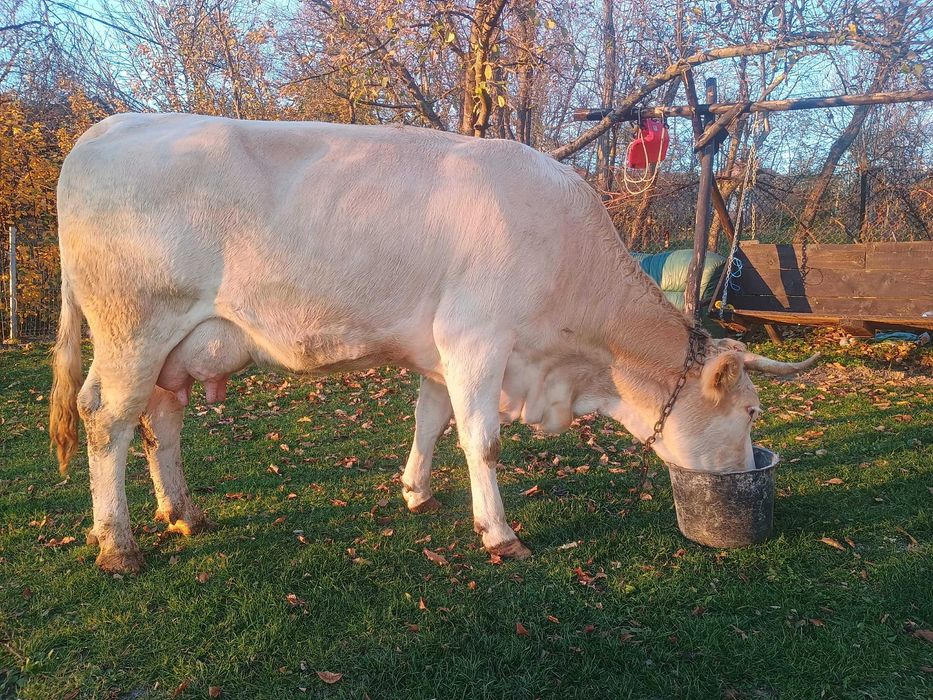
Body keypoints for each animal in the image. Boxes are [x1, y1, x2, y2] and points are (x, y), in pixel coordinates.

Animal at [49, 113, 817, 574]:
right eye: (750, 413)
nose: (747, 472)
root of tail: (105, 128)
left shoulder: (439, 348)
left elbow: (430, 418)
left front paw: (416, 492)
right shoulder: (476, 336)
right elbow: (482, 440)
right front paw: (499, 534)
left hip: (175, 344)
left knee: (161, 421)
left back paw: (183, 513)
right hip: (134, 327)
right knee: (107, 419)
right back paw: (117, 544)